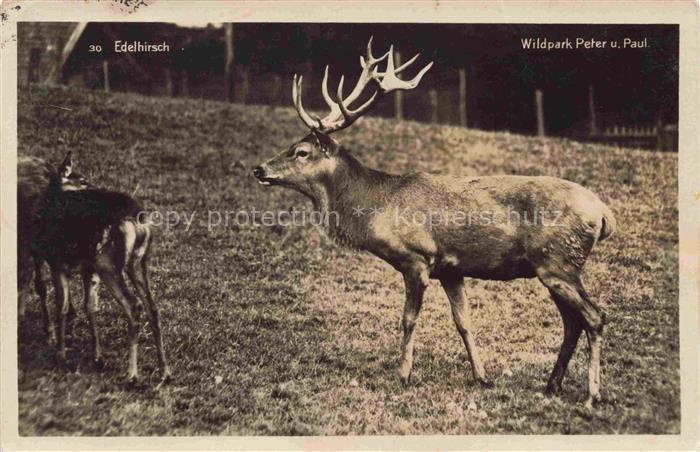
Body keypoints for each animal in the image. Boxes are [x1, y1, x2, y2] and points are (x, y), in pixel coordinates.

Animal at [28, 152, 171, 385]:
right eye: (83, 180)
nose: (95, 185)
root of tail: (139, 222)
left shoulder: (57, 263)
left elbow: (62, 307)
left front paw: (60, 355)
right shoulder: (89, 269)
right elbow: (90, 307)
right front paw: (97, 356)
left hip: (109, 264)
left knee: (133, 305)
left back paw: (132, 375)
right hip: (138, 263)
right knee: (152, 306)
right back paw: (164, 371)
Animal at [253, 38, 616, 408]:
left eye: (302, 152)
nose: (259, 169)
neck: (378, 206)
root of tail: (604, 214)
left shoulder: (416, 259)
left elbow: (408, 320)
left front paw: (403, 375)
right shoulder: (451, 269)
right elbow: (464, 322)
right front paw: (481, 376)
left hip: (558, 261)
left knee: (595, 317)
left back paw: (592, 394)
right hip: (555, 267)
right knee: (573, 322)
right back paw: (552, 385)